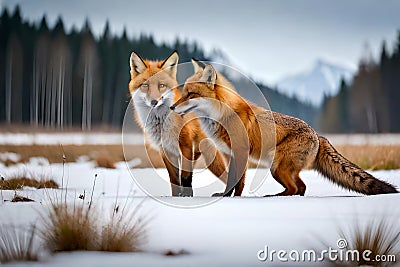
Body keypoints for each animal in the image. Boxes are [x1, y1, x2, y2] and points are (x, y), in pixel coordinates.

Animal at [129, 51, 228, 197]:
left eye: (161, 85)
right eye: (145, 85)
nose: (154, 102)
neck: (163, 123)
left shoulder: (186, 145)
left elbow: (185, 176)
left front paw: (186, 197)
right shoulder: (166, 150)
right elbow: (174, 179)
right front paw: (177, 197)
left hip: (212, 159)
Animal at [170, 59, 398, 198]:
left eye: (191, 94)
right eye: (184, 92)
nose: (171, 107)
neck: (222, 116)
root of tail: (318, 135)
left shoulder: (240, 152)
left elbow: (235, 182)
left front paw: (230, 198)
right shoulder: (228, 154)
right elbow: (234, 181)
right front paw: (230, 196)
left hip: (276, 167)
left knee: (296, 187)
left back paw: (273, 197)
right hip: (281, 168)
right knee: (302, 187)